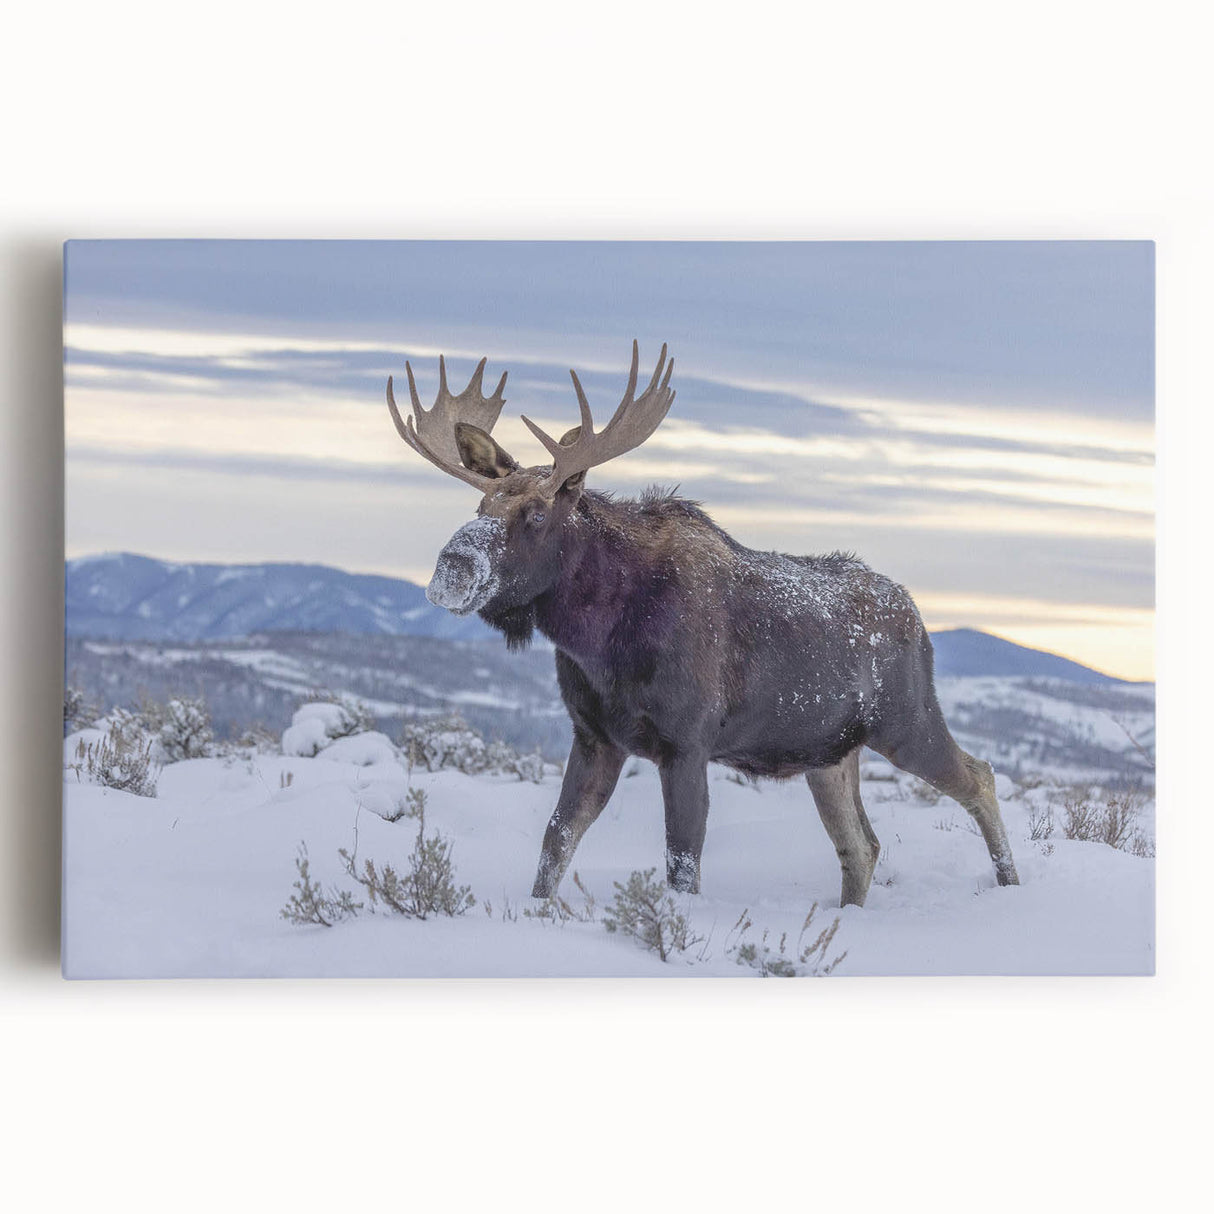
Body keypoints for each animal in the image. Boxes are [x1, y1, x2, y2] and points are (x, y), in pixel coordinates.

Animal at [386, 342, 1019, 906]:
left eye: (537, 513)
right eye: (480, 507)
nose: (452, 567)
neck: (598, 636)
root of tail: (919, 620)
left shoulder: (686, 743)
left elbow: (682, 863)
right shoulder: (594, 737)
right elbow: (554, 845)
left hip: (907, 721)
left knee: (981, 777)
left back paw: (1010, 886)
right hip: (830, 754)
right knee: (862, 846)